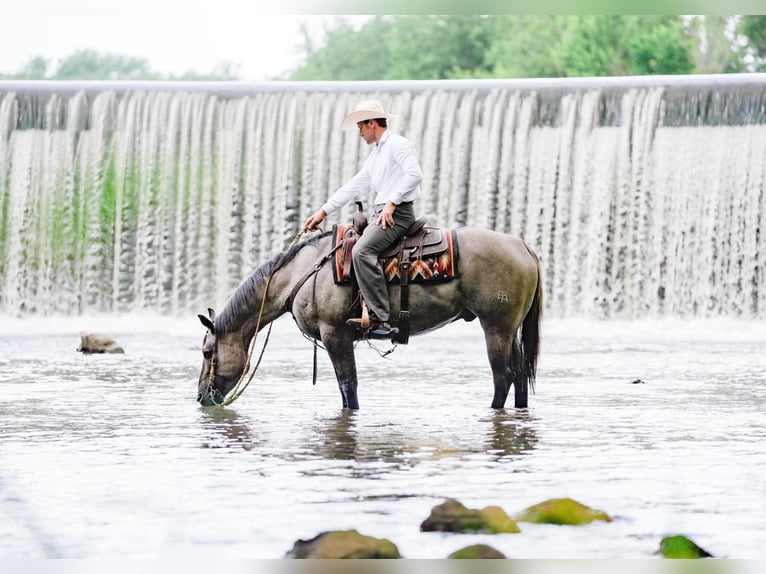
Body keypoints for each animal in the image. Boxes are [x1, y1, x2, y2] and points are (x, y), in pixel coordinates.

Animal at [196, 226, 542, 410]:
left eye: (207, 352)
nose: (201, 396)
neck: (304, 272)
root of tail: (523, 246)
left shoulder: (335, 333)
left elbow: (347, 384)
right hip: (510, 330)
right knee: (520, 374)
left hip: (495, 327)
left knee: (503, 376)